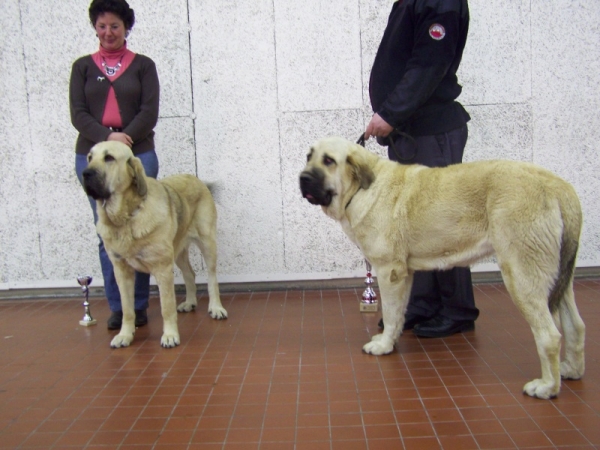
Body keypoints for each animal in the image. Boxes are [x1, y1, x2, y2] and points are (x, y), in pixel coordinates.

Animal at [82, 141, 227, 348]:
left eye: (109, 158)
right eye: (89, 157)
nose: (85, 173)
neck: (125, 218)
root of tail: (196, 179)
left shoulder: (162, 268)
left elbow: (166, 306)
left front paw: (170, 336)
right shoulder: (122, 271)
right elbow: (127, 308)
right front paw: (125, 335)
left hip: (207, 243)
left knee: (212, 278)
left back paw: (216, 308)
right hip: (178, 251)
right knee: (189, 274)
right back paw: (190, 302)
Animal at [300, 135, 584, 400]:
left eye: (329, 161)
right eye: (308, 156)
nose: (302, 178)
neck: (361, 188)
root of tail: (560, 186)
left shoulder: (388, 271)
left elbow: (390, 314)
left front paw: (383, 346)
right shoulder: (404, 274)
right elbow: (399, 314)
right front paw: (392, 339)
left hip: (522, 275)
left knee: (549, 335)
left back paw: (547, 386)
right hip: (560, 277)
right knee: (575, 325)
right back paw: (571, 369)